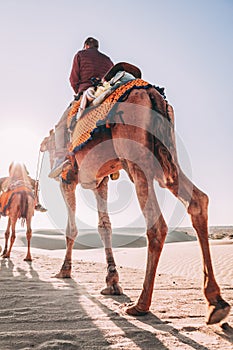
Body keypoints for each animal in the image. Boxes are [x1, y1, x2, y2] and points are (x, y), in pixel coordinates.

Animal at [40, 80, 231, 324]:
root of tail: (151, 93)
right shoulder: (101, 180)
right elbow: (104, 226)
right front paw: (112, 282)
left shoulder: (68, 179)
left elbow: (71, 228)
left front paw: (64, 271)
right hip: (165, 157)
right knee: (197, 200)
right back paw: (216, 302)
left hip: (136, 158)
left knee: (156, 225)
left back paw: (141, 305)